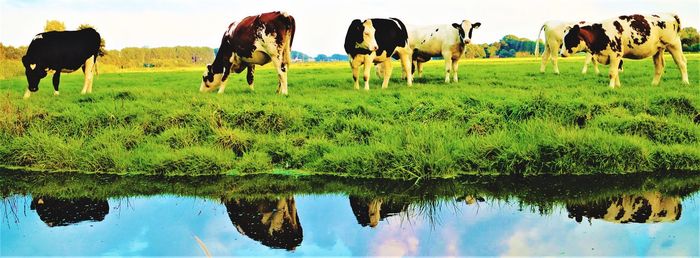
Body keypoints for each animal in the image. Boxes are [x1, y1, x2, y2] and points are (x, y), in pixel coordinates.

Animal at [556, 13, 688, 88]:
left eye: (569, 38)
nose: (561, 53)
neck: (600, 34)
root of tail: (670, 14)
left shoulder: (615, 54)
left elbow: (612, 72)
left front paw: (611, 87)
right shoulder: (615, 57)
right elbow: (616, 72)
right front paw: (618, 86)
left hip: (674, 44)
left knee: (681, 63)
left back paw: (685, 82)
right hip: (658, 49)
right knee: (659, 66)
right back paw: (654, 84)